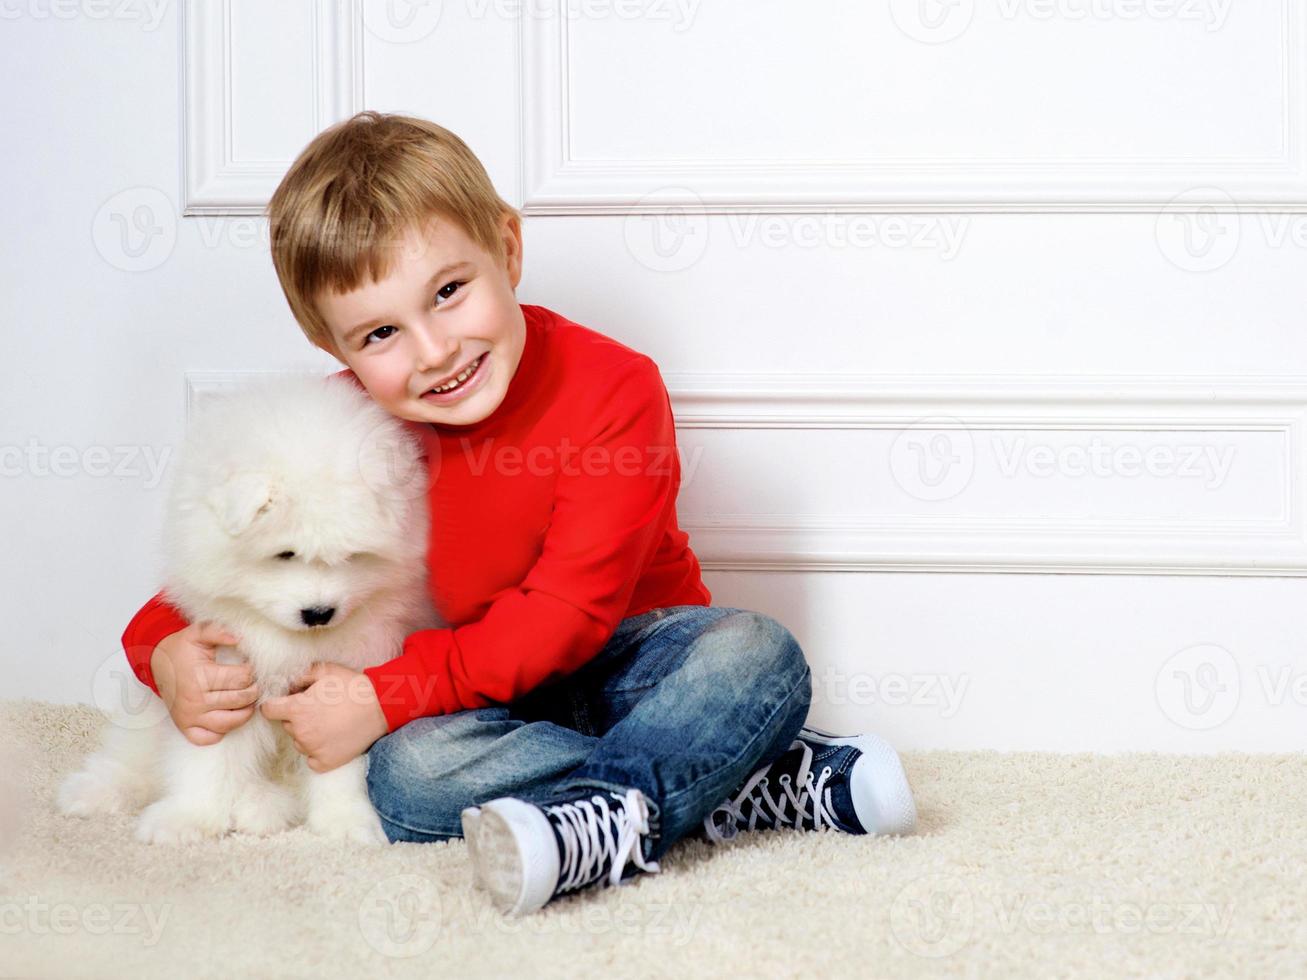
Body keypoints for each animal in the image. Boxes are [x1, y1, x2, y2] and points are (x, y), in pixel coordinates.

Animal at [58, 371, 439, 846]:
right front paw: (187, 820)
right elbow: (206, 760)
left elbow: (340, 765)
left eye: (351, 557)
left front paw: (347, 824)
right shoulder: (222, 677)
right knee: (132, 761)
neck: (287, 643)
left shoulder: (343, 686)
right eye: (285, 554)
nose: (319, 613)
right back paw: (91, 793)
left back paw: (260, 807)